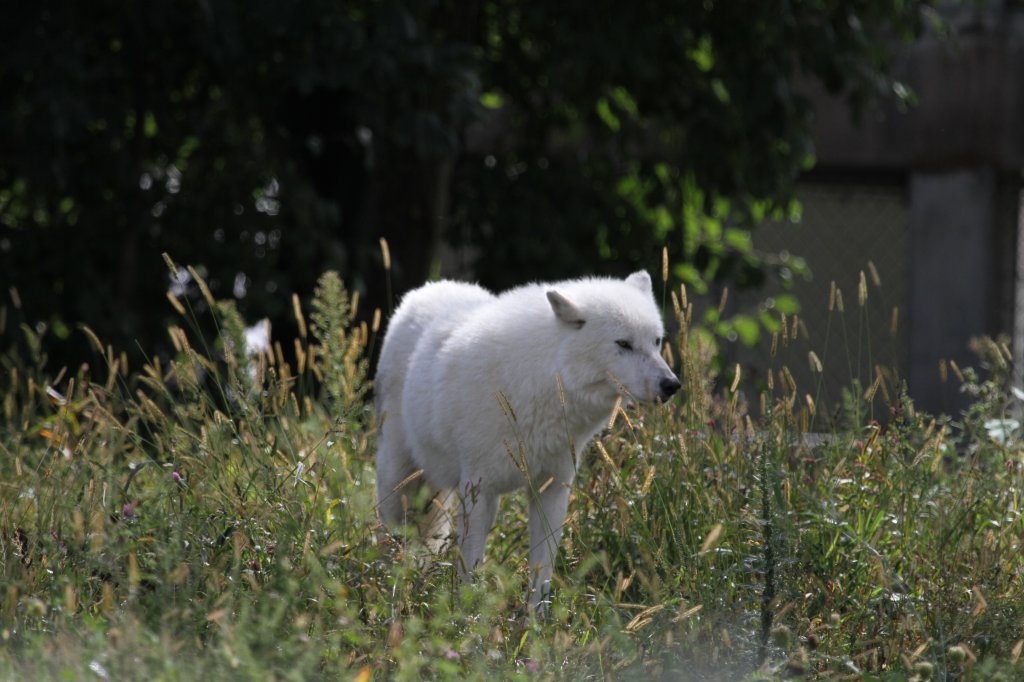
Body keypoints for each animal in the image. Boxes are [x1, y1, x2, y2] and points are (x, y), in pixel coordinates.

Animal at [372, 268, 675, 606]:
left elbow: (541, 573)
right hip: (399, 484)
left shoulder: (552, 489)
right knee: (390, 539)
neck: (541, 381)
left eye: (656, 341)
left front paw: (534, 619)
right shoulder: (479, 490)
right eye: (623, 344)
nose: (671, 384)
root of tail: (428, 288)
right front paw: (468, 615)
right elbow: (469, 570)